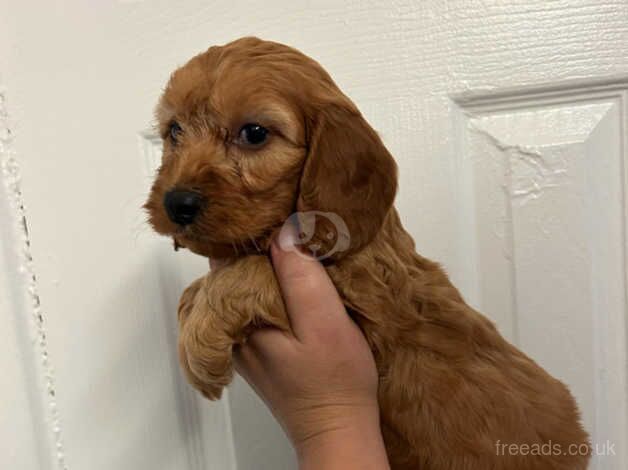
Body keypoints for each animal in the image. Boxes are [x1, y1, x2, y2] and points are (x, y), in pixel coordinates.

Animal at [145, 37, 592, 470]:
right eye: (174, 131)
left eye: (254, 133)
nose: (176, 203)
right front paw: (191, 308)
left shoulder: (363, 303)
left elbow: (249, 269)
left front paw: (199, 346)